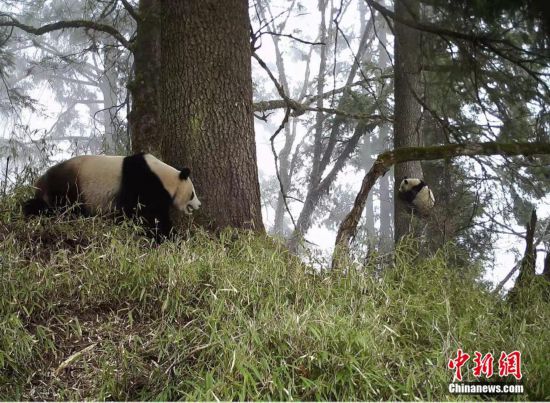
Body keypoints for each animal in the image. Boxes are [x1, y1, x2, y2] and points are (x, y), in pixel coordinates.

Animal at [23, 153, 203, 241]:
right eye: (192, 194)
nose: (199, 205)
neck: (164, 177)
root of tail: (40, 181)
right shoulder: (142, 184)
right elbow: (148, 216)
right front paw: (171, 236)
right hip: (70, 187)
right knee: (64, 208)